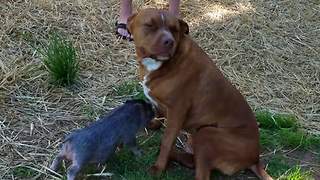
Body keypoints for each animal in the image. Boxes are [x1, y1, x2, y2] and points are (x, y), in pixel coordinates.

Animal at [127, 8, 272, 180]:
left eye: (174, 29)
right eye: (150, 26)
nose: (169, 41)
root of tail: (255, 159)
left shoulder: (177, 111)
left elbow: (167, 141)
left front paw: (159, 168)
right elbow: (160, 114)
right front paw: (154, 123)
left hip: (207, 134)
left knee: (201, 173)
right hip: (196, 137)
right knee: (193, 160)